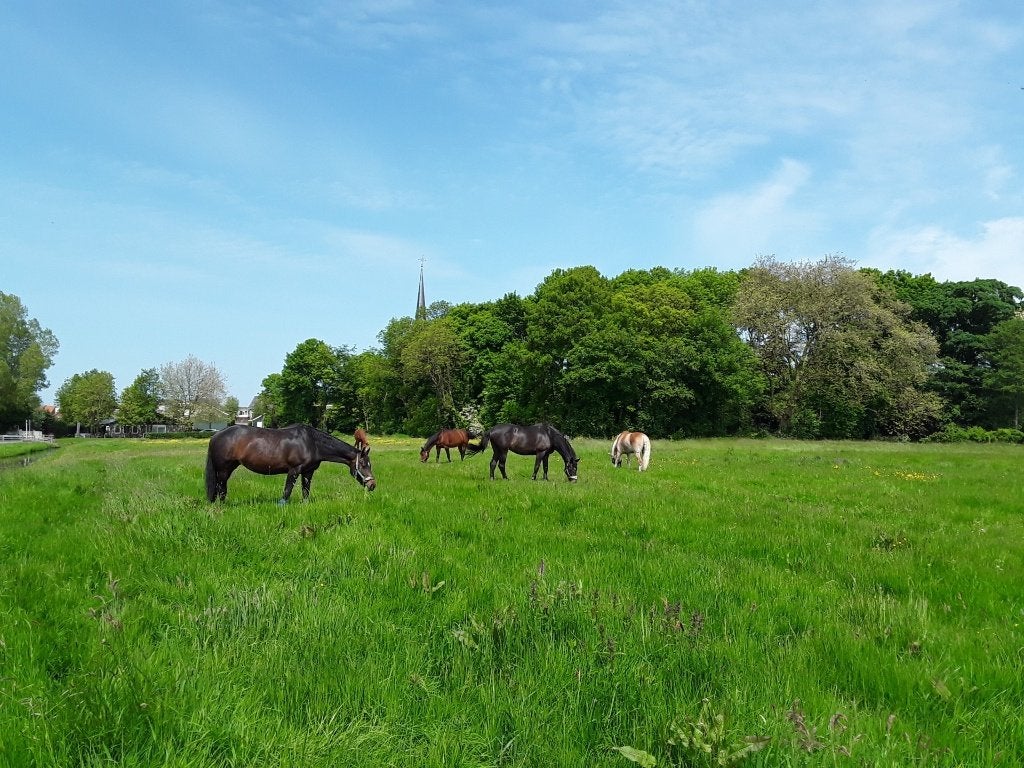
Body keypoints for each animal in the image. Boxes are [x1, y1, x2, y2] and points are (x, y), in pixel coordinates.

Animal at [205, 424, 375, 504]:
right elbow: (287, 492)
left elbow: (305, 491)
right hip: (223, 469)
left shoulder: (308, 472)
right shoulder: (294, 470)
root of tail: (215, 436)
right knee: (221, 489)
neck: (312, 442)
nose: (373, 485)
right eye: (364, 464)